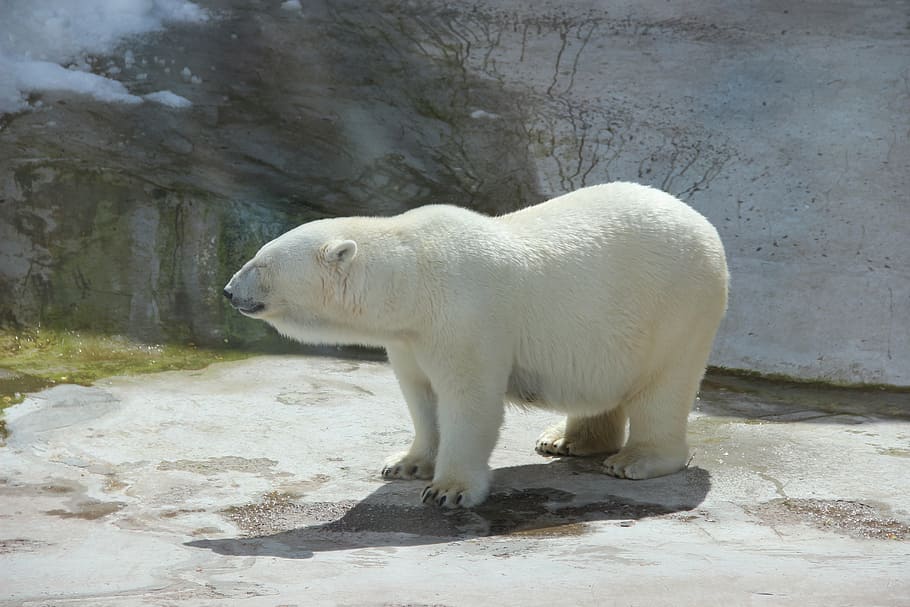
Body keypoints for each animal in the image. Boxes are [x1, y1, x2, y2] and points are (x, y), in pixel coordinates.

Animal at [224, 182, 729, 508]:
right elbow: (421, 395)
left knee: (664, 386)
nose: (228, 291)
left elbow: (470, 400)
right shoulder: (410, 336)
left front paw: (448, 490)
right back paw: (564, 440)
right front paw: (405, 464)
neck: (413, 276)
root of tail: (704, 225)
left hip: (677, 307)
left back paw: (636, 460)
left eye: (260, 263)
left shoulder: (464, 315)